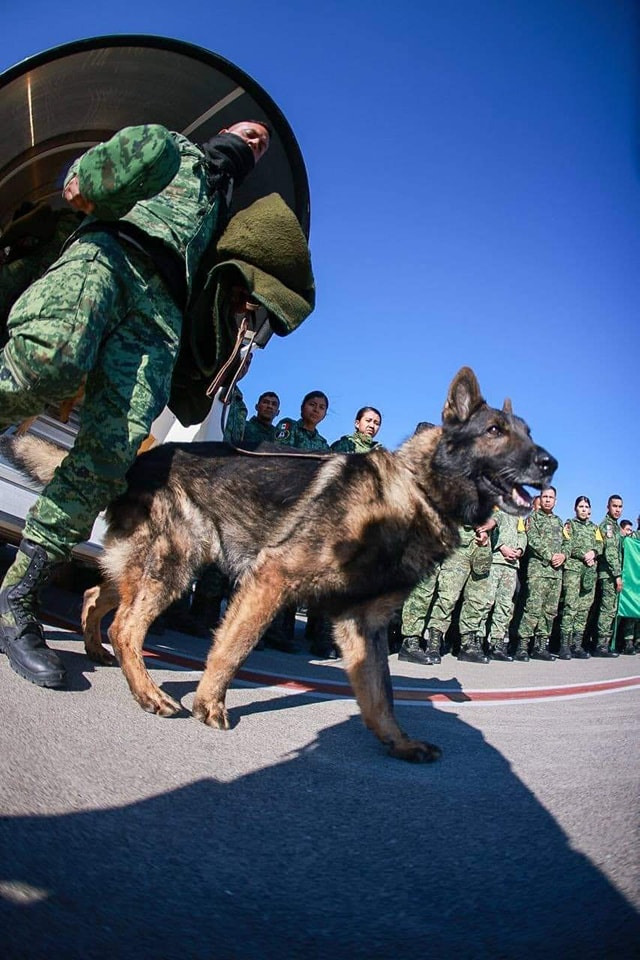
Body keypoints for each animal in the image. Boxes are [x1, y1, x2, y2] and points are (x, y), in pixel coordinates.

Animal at [3, 370, 556, 764]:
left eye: (529, 435)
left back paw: (98, 651)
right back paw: (147, 693)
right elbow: (232, 649)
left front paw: (399, 742)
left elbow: (381, 694)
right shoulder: (272, 579)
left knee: (98, 596)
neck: (416, 491)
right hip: (177, 564)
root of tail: (139, 460)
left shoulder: (363, 626)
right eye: (494, 431)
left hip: (154, 565)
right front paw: (210, 705)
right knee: (126, 625)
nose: (550, 463)